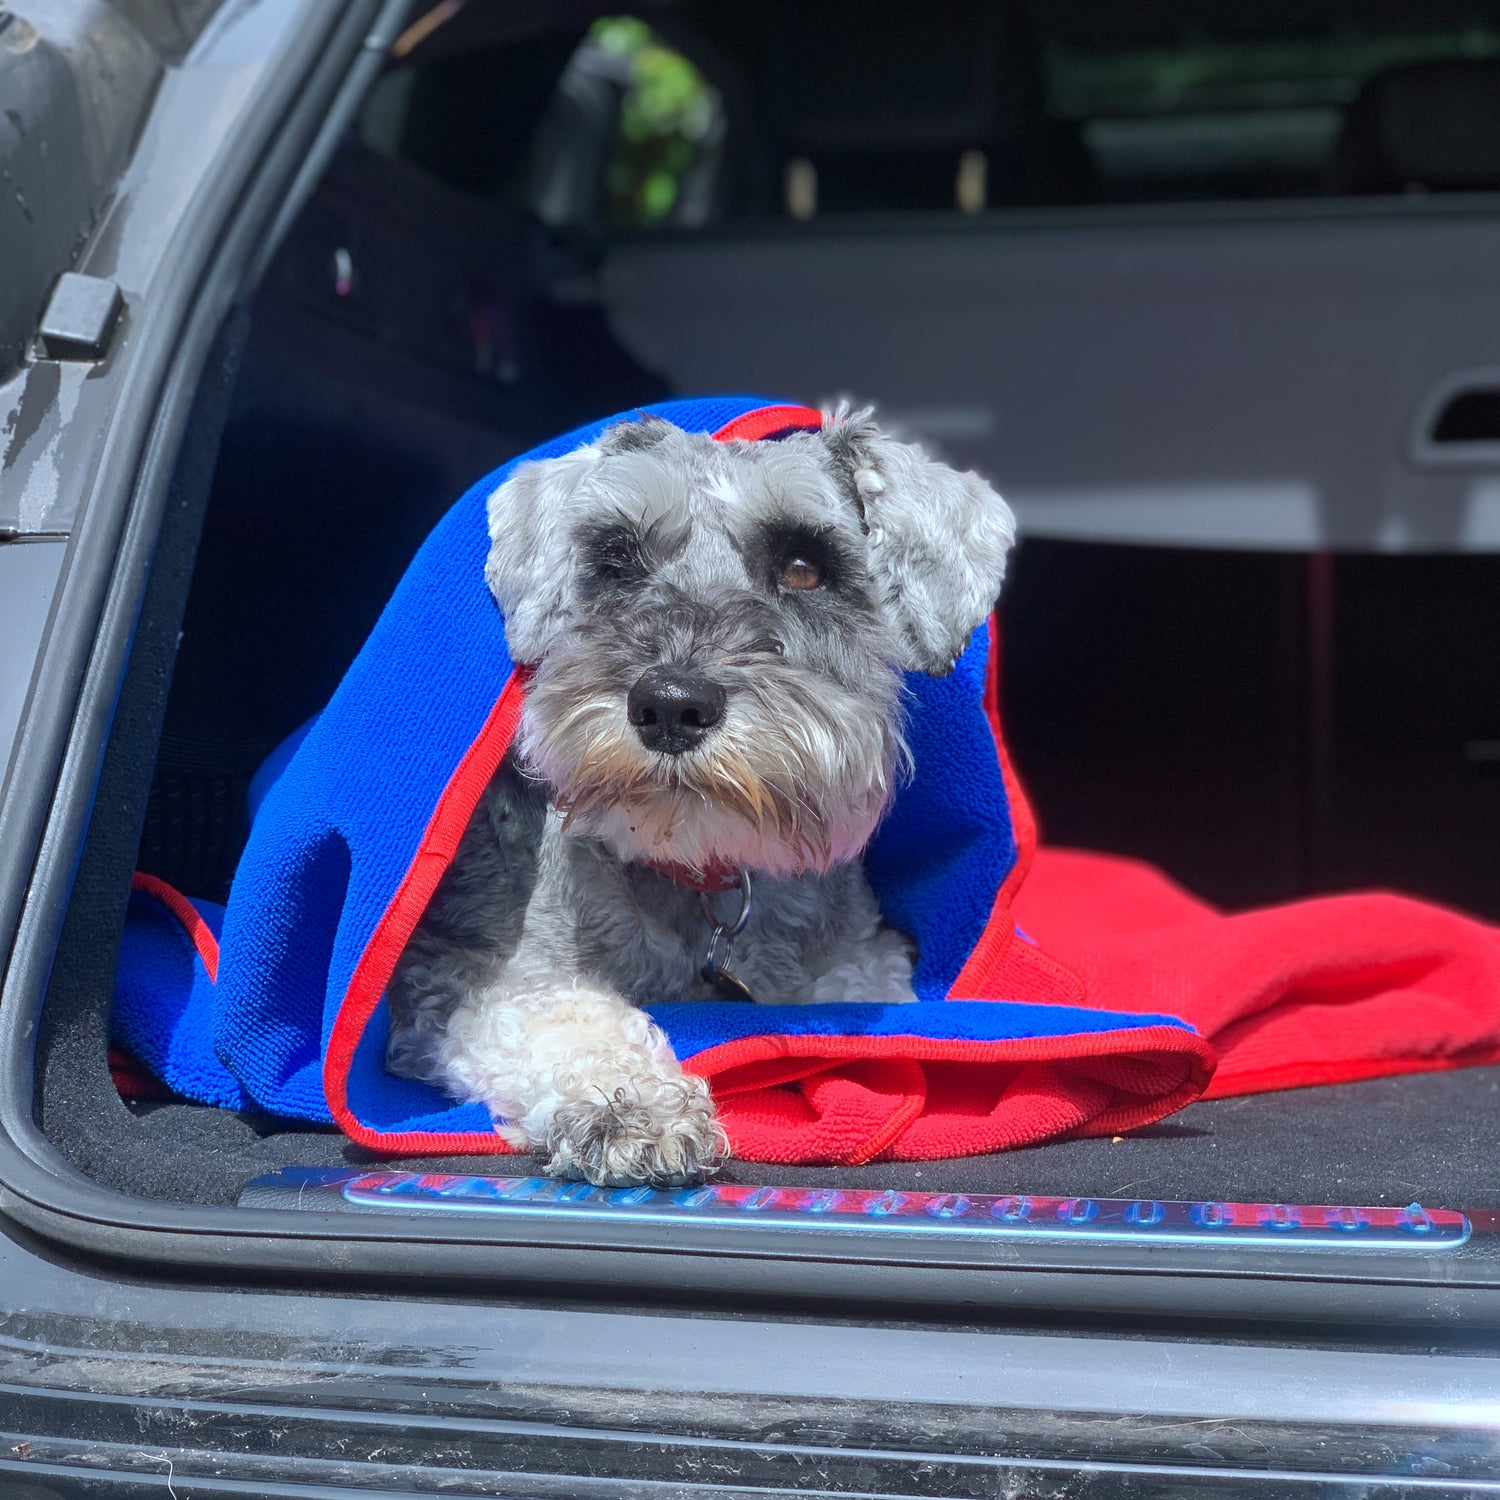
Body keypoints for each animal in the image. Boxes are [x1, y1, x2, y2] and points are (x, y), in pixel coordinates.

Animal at [387, 405, 1020, 1188]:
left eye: (805, 567)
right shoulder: (466, 973)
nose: (669, 705)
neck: (698, 873)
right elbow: (560, 1019)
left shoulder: (860, 958)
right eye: (617, 560)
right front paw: (631, 1105)